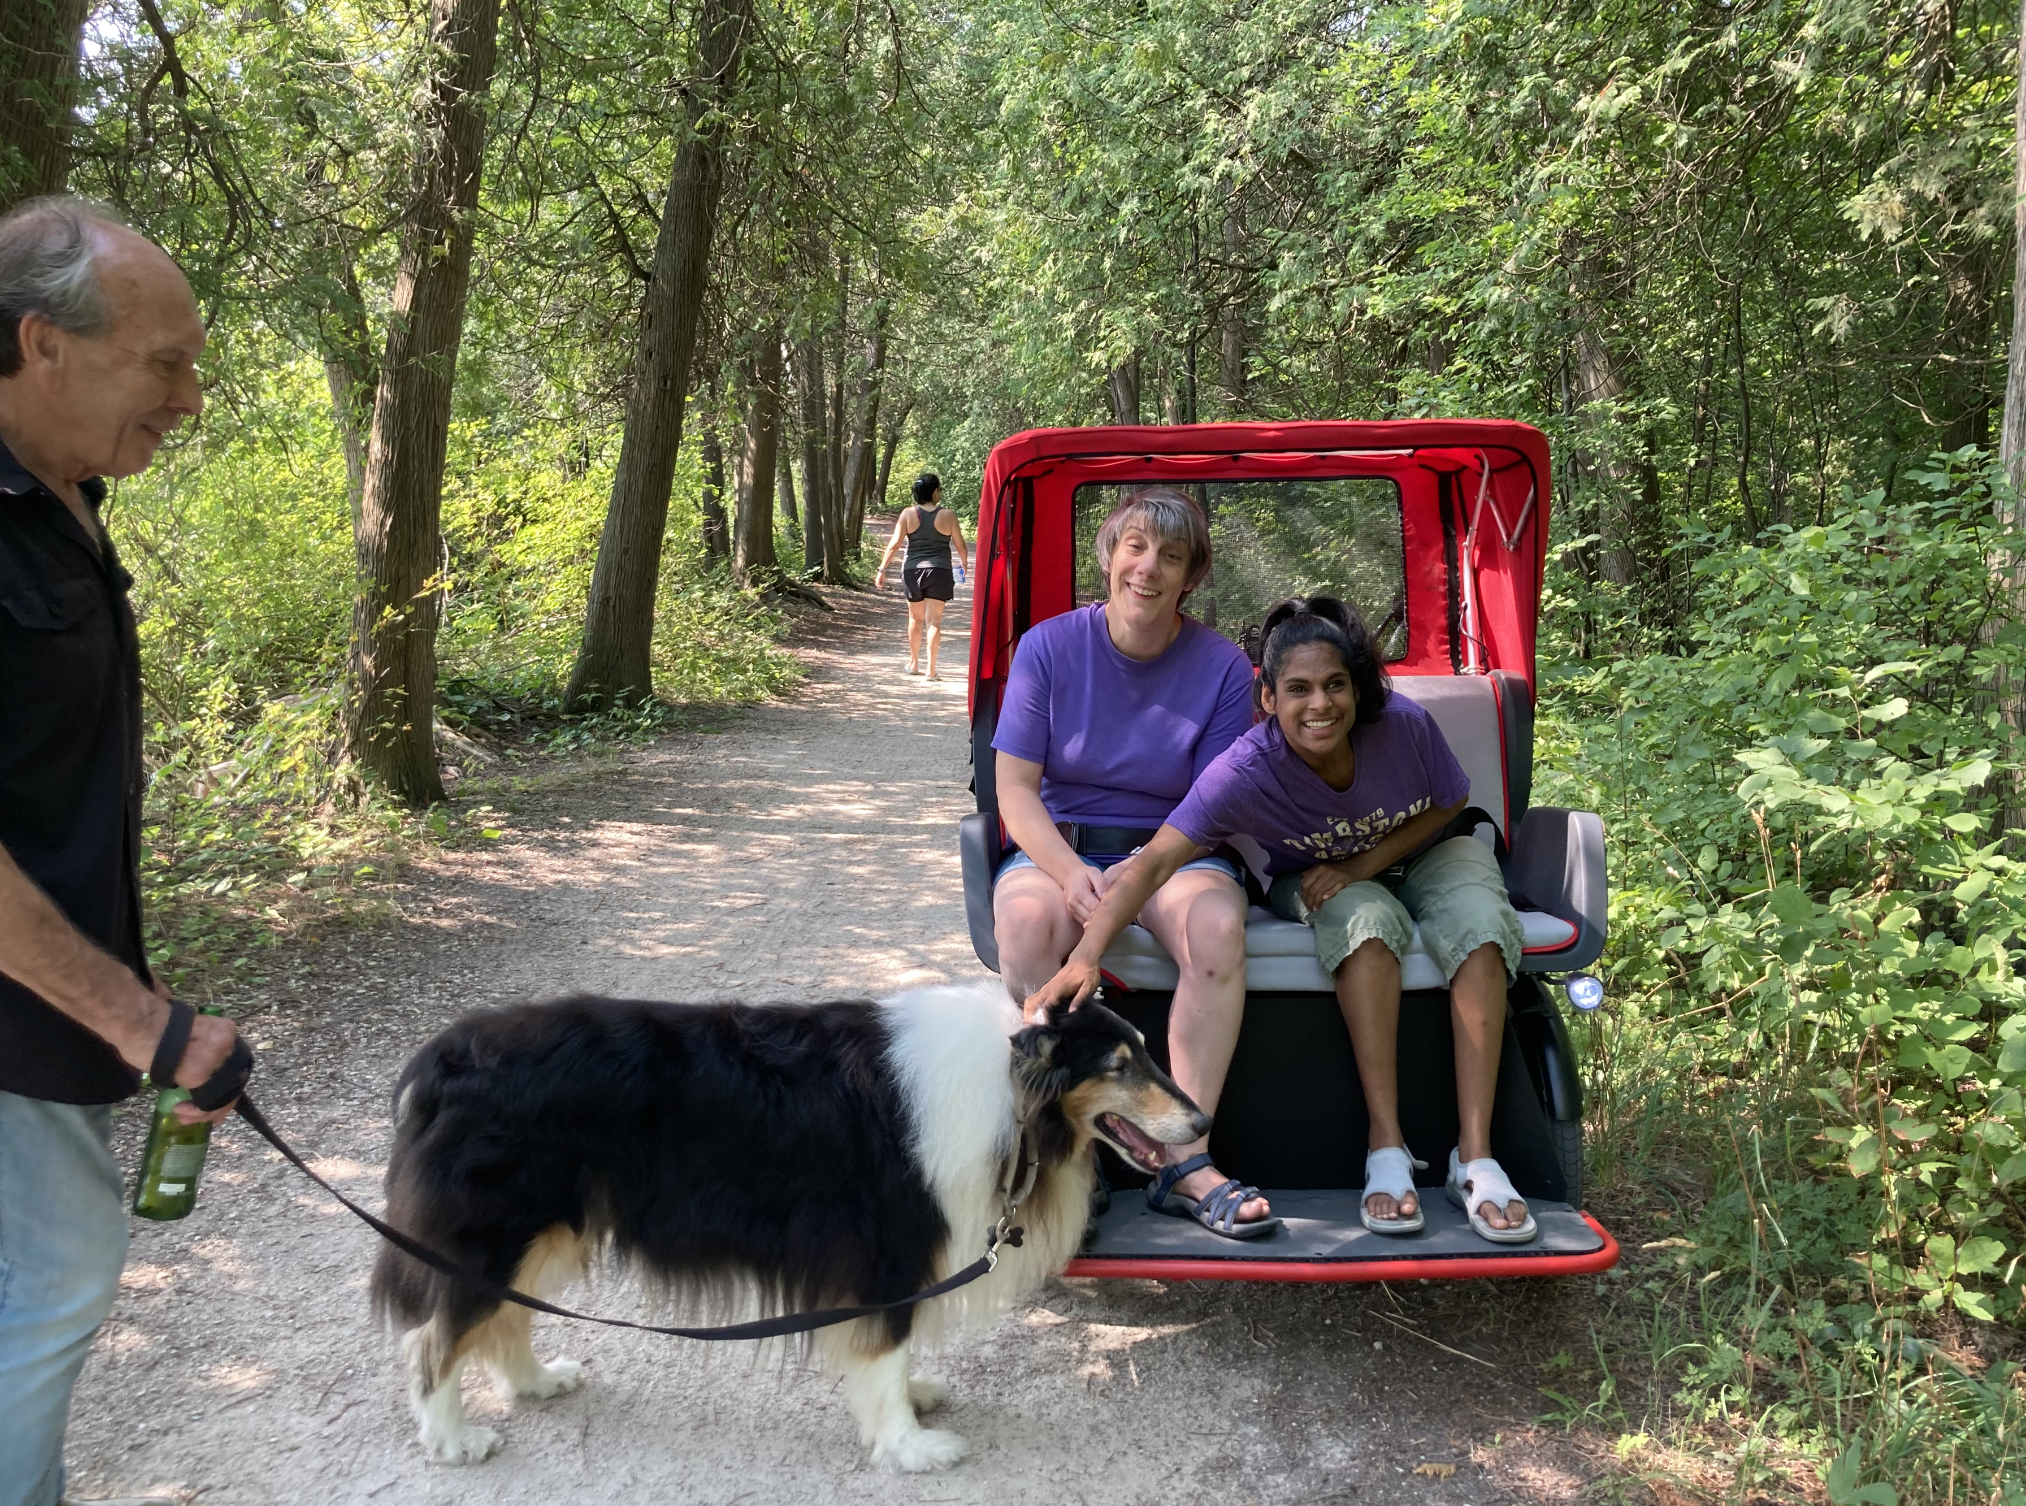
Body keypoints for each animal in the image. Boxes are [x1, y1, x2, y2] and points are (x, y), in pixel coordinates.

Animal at [369, 982, 1207, 1471]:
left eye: (1144, 1052)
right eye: (1120, 1064)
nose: (1202, 1122)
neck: (1011, 1084)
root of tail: (440, 1059)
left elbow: (891, 1349)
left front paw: (914, 1400)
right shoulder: (886, 1245)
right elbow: (885, 1348)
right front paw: (910, 1445)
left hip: (547, 1228)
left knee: (504, 1320)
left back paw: (536, 1382)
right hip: (497, 1232)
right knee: (434, 1339)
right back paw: (451, 1438)